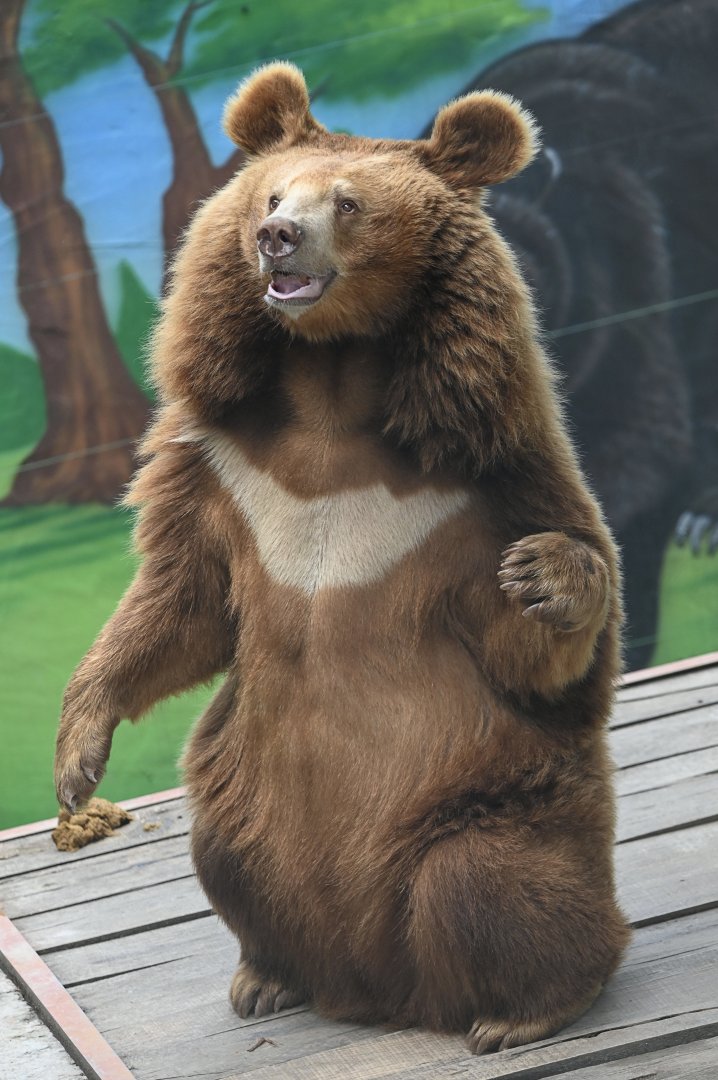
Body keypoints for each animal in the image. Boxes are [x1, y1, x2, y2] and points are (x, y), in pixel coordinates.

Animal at [54, 63, 629, 1054]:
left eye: (348, 202)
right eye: (271, 194)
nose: (276, 238)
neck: (330, 380)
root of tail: (379, 986)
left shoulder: (477, 481)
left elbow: (536, 644)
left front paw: (544, 577)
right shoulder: (225, 467)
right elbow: (178, 604)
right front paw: (78, 756)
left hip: (486, 800)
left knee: (491, 880)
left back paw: (519, 1010)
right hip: (250, 797)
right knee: (226, 857)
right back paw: (266, 975)